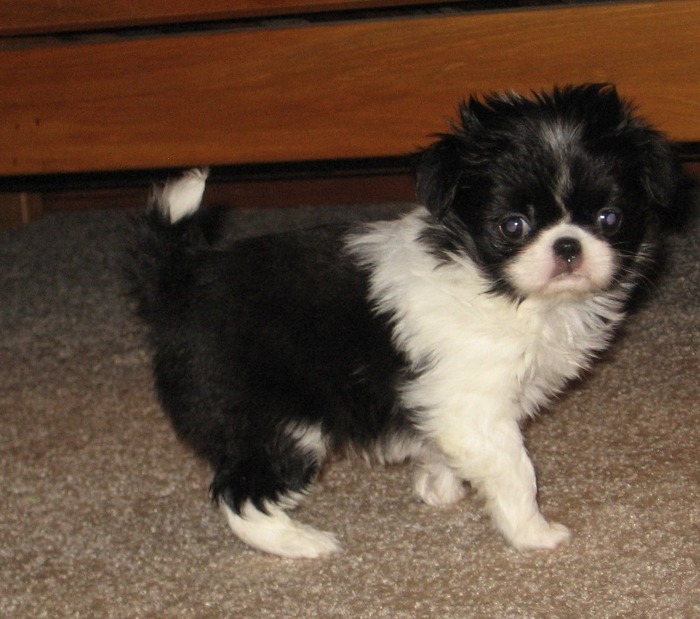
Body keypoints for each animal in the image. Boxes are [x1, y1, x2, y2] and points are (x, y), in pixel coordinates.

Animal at [126, 85, 680, 560]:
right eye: (513, 226)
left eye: (609, 219)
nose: (568, 246)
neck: (493, 283)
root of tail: (183, 277)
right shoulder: (472, 404)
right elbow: (515, 470)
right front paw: (533, 532)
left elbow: (444, 446)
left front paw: (439, 485)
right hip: (280, 423)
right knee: (240, 493)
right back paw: (302, 543)